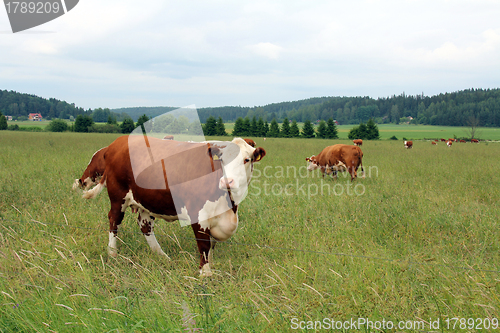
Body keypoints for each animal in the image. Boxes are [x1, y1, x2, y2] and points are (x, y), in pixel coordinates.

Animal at [81, 135, 266, 274]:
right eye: (221, 160)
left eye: (246, 160)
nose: (228, 181)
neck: (230, 206)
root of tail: (116, 142)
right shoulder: (197, 213)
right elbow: (204, 244)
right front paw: (205, 273)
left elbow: (212, 244)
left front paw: (210, 265)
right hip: (118, 196)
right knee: (114, 220)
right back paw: (112, 253)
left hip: (147, 199)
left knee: (145, 225)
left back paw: (161, 255)